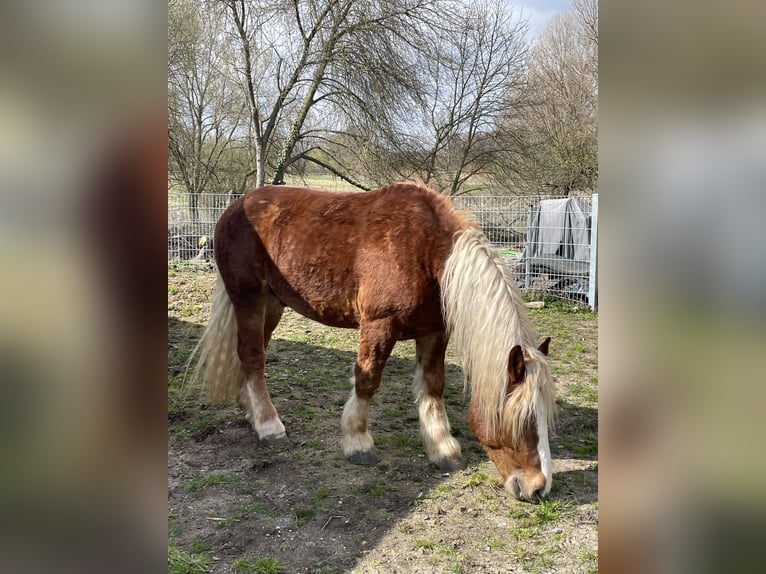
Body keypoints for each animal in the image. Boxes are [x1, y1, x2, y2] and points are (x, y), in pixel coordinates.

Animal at [191, 182, 556, 501]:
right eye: (523, 418)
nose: (539, 488)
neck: (428, 253)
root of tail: (235, 207)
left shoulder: (434, 331)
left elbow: (433, 385)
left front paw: (442, 449)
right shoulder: (380, 325)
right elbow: (367, 380)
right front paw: (358, 443)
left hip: (273, 303)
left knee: (253, 354)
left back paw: (251, 411)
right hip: (249, 299)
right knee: (252, 356)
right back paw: (269, 426)